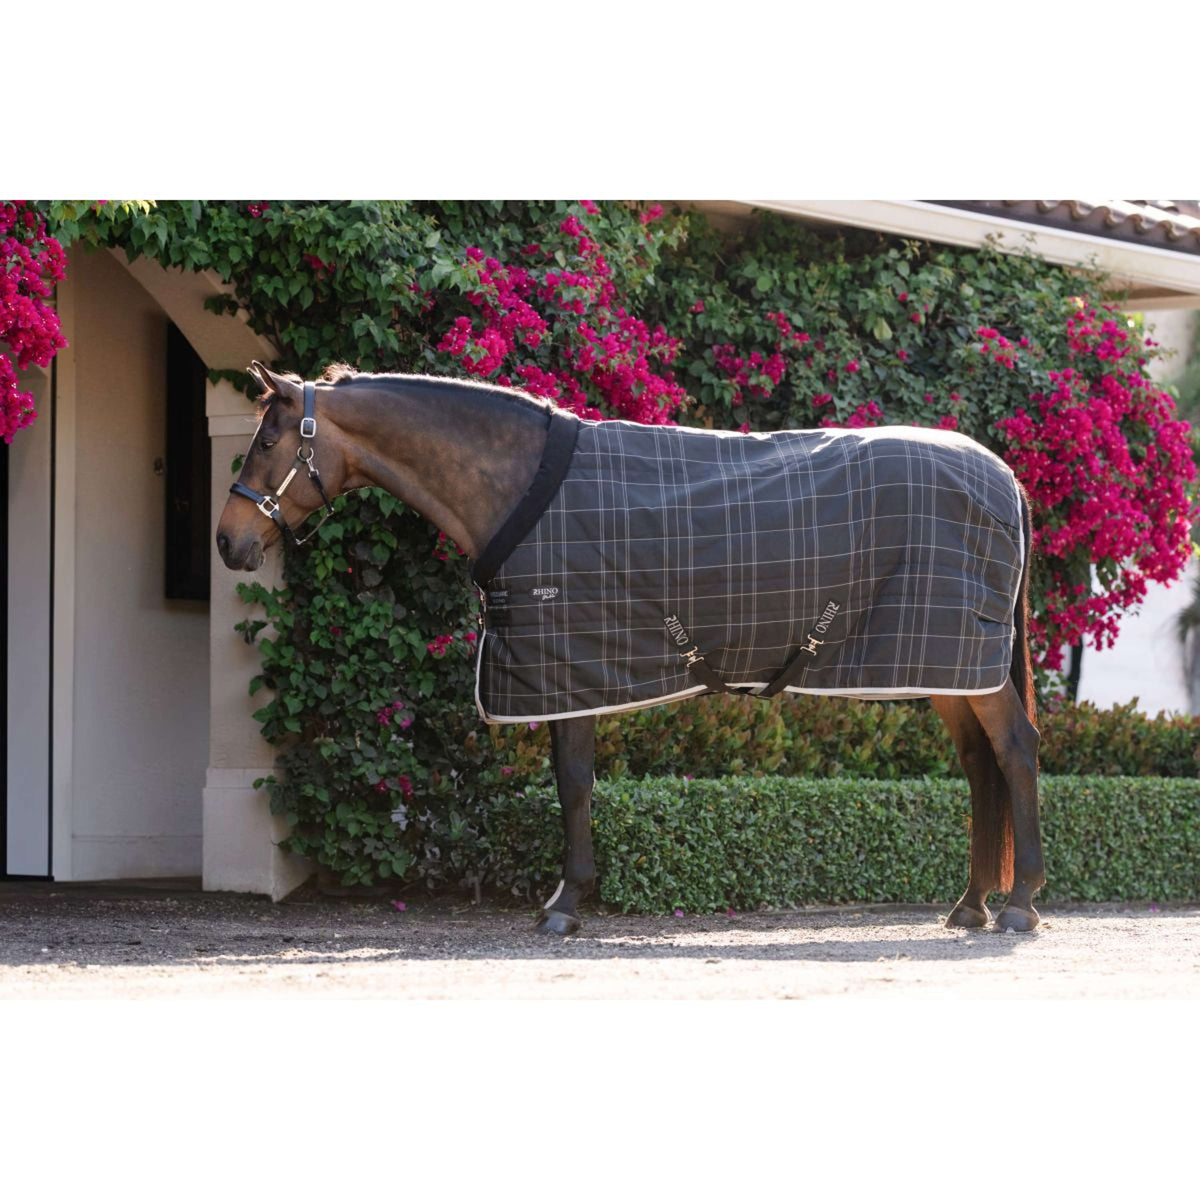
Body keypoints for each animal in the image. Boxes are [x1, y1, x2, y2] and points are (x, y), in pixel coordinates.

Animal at [216, 363, 1044, 935]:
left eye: (268, 440)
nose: (229, 542)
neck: (519, 484)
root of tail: (1005, 478)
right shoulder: (565, 671)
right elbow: (572, 784)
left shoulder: (567, 668)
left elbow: (574, 784)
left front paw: (565, 902)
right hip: (948, 667)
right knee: (979, 766)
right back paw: (970, 903)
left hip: (968, 668)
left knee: (1015, 751)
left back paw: (1020, 903)